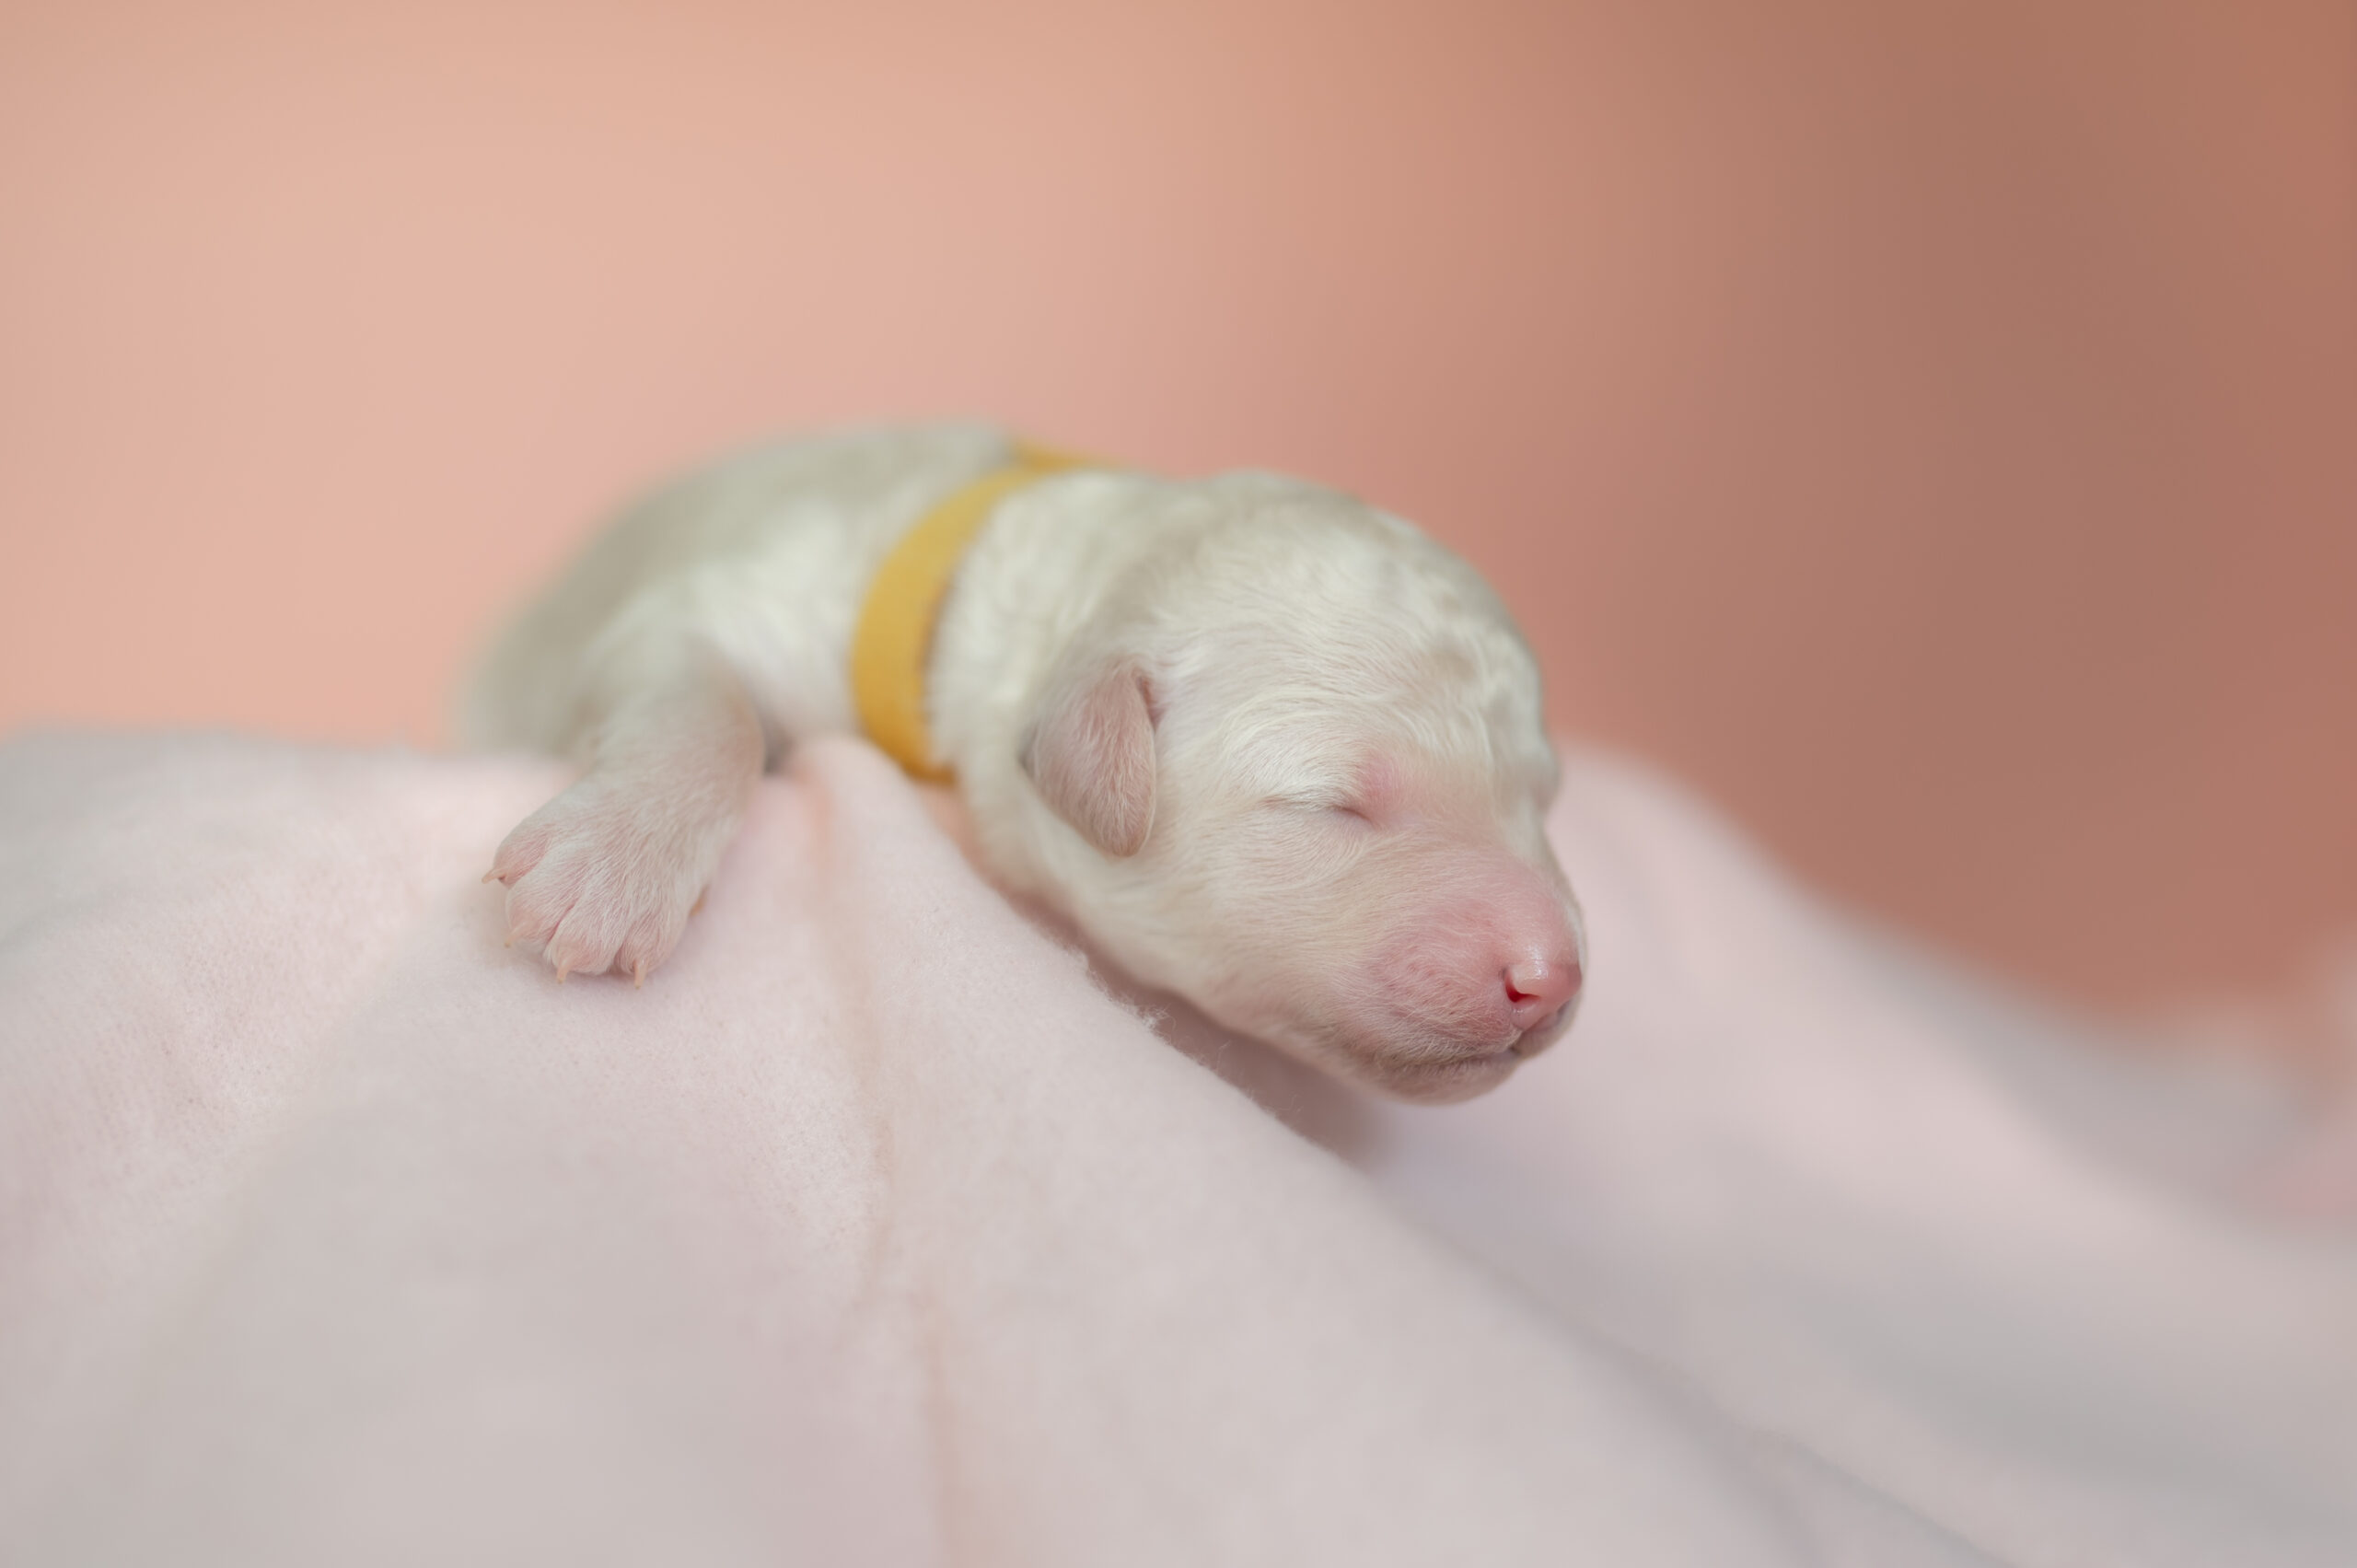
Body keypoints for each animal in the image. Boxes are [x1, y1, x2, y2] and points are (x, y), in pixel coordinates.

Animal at [463, 426, 1584, 1102]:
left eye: (1542, 800)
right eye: (1335, 805)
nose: (1554, 974)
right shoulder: (731, 605)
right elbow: (707, 702)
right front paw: (610, 868)